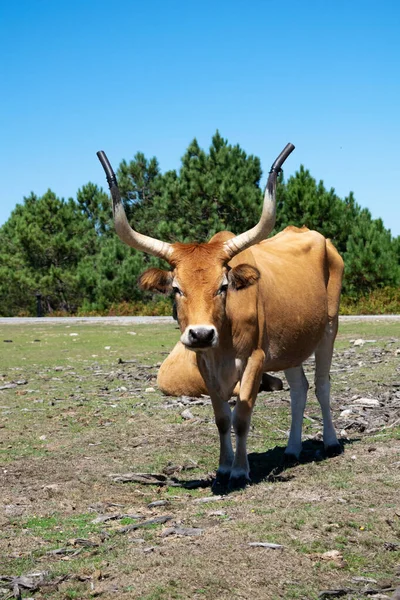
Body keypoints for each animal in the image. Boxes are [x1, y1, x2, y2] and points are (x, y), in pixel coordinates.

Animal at [97, 143, 344, 490]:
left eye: (224, 285)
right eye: (176, 288)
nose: (201, 334)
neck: (223, 342)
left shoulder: (255, 358)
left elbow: (241, 416)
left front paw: (240, 470)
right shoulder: (205, 363)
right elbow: (221, 418)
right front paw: (224, 467)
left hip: (329, 329)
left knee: (322, 384)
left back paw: (331, 442)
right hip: (291, 342)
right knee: (300, 388)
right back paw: (292, 449)